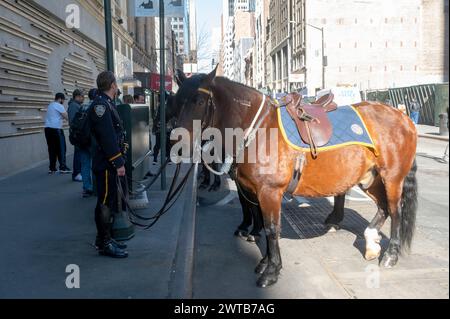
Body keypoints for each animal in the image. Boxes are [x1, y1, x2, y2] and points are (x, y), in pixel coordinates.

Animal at [173, 68, 418, 290]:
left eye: (199, 101)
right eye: (176, 100)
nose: (178, 145)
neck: (259, 129)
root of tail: (403, 118)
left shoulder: (269, 192)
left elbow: (271, 229)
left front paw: (271, 271)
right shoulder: (254, 191)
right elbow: (261, 223)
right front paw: (264, 261)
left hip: (392, 178)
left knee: (395, 210)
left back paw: (390, 255)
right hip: (370, 178)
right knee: (384, 207)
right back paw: (371, 242)